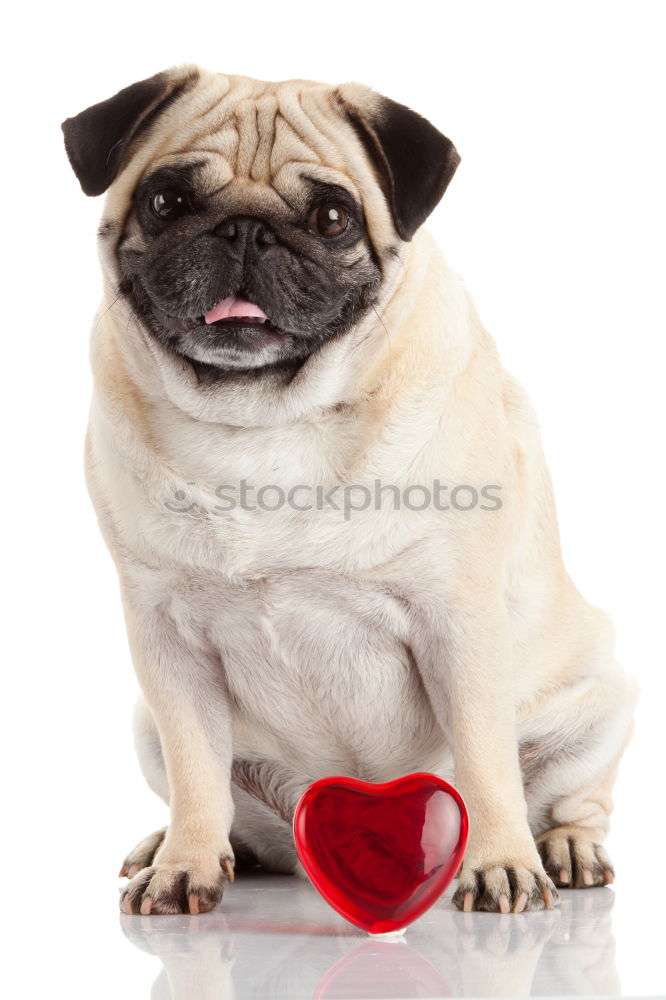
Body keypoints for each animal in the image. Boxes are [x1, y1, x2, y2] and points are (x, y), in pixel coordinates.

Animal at [63, 66, 640, 916]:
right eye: (166, 201)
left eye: (332, 219)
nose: (244, 231)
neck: (265, 418)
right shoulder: (165, 638)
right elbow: (197, 766)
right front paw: (185, 864)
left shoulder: (459, 622)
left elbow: (486, 758)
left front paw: (500, 862)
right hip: (150, 725)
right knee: (219, 795)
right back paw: (189, 846)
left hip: (600, 701)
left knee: (572, 797)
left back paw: (563, 850)